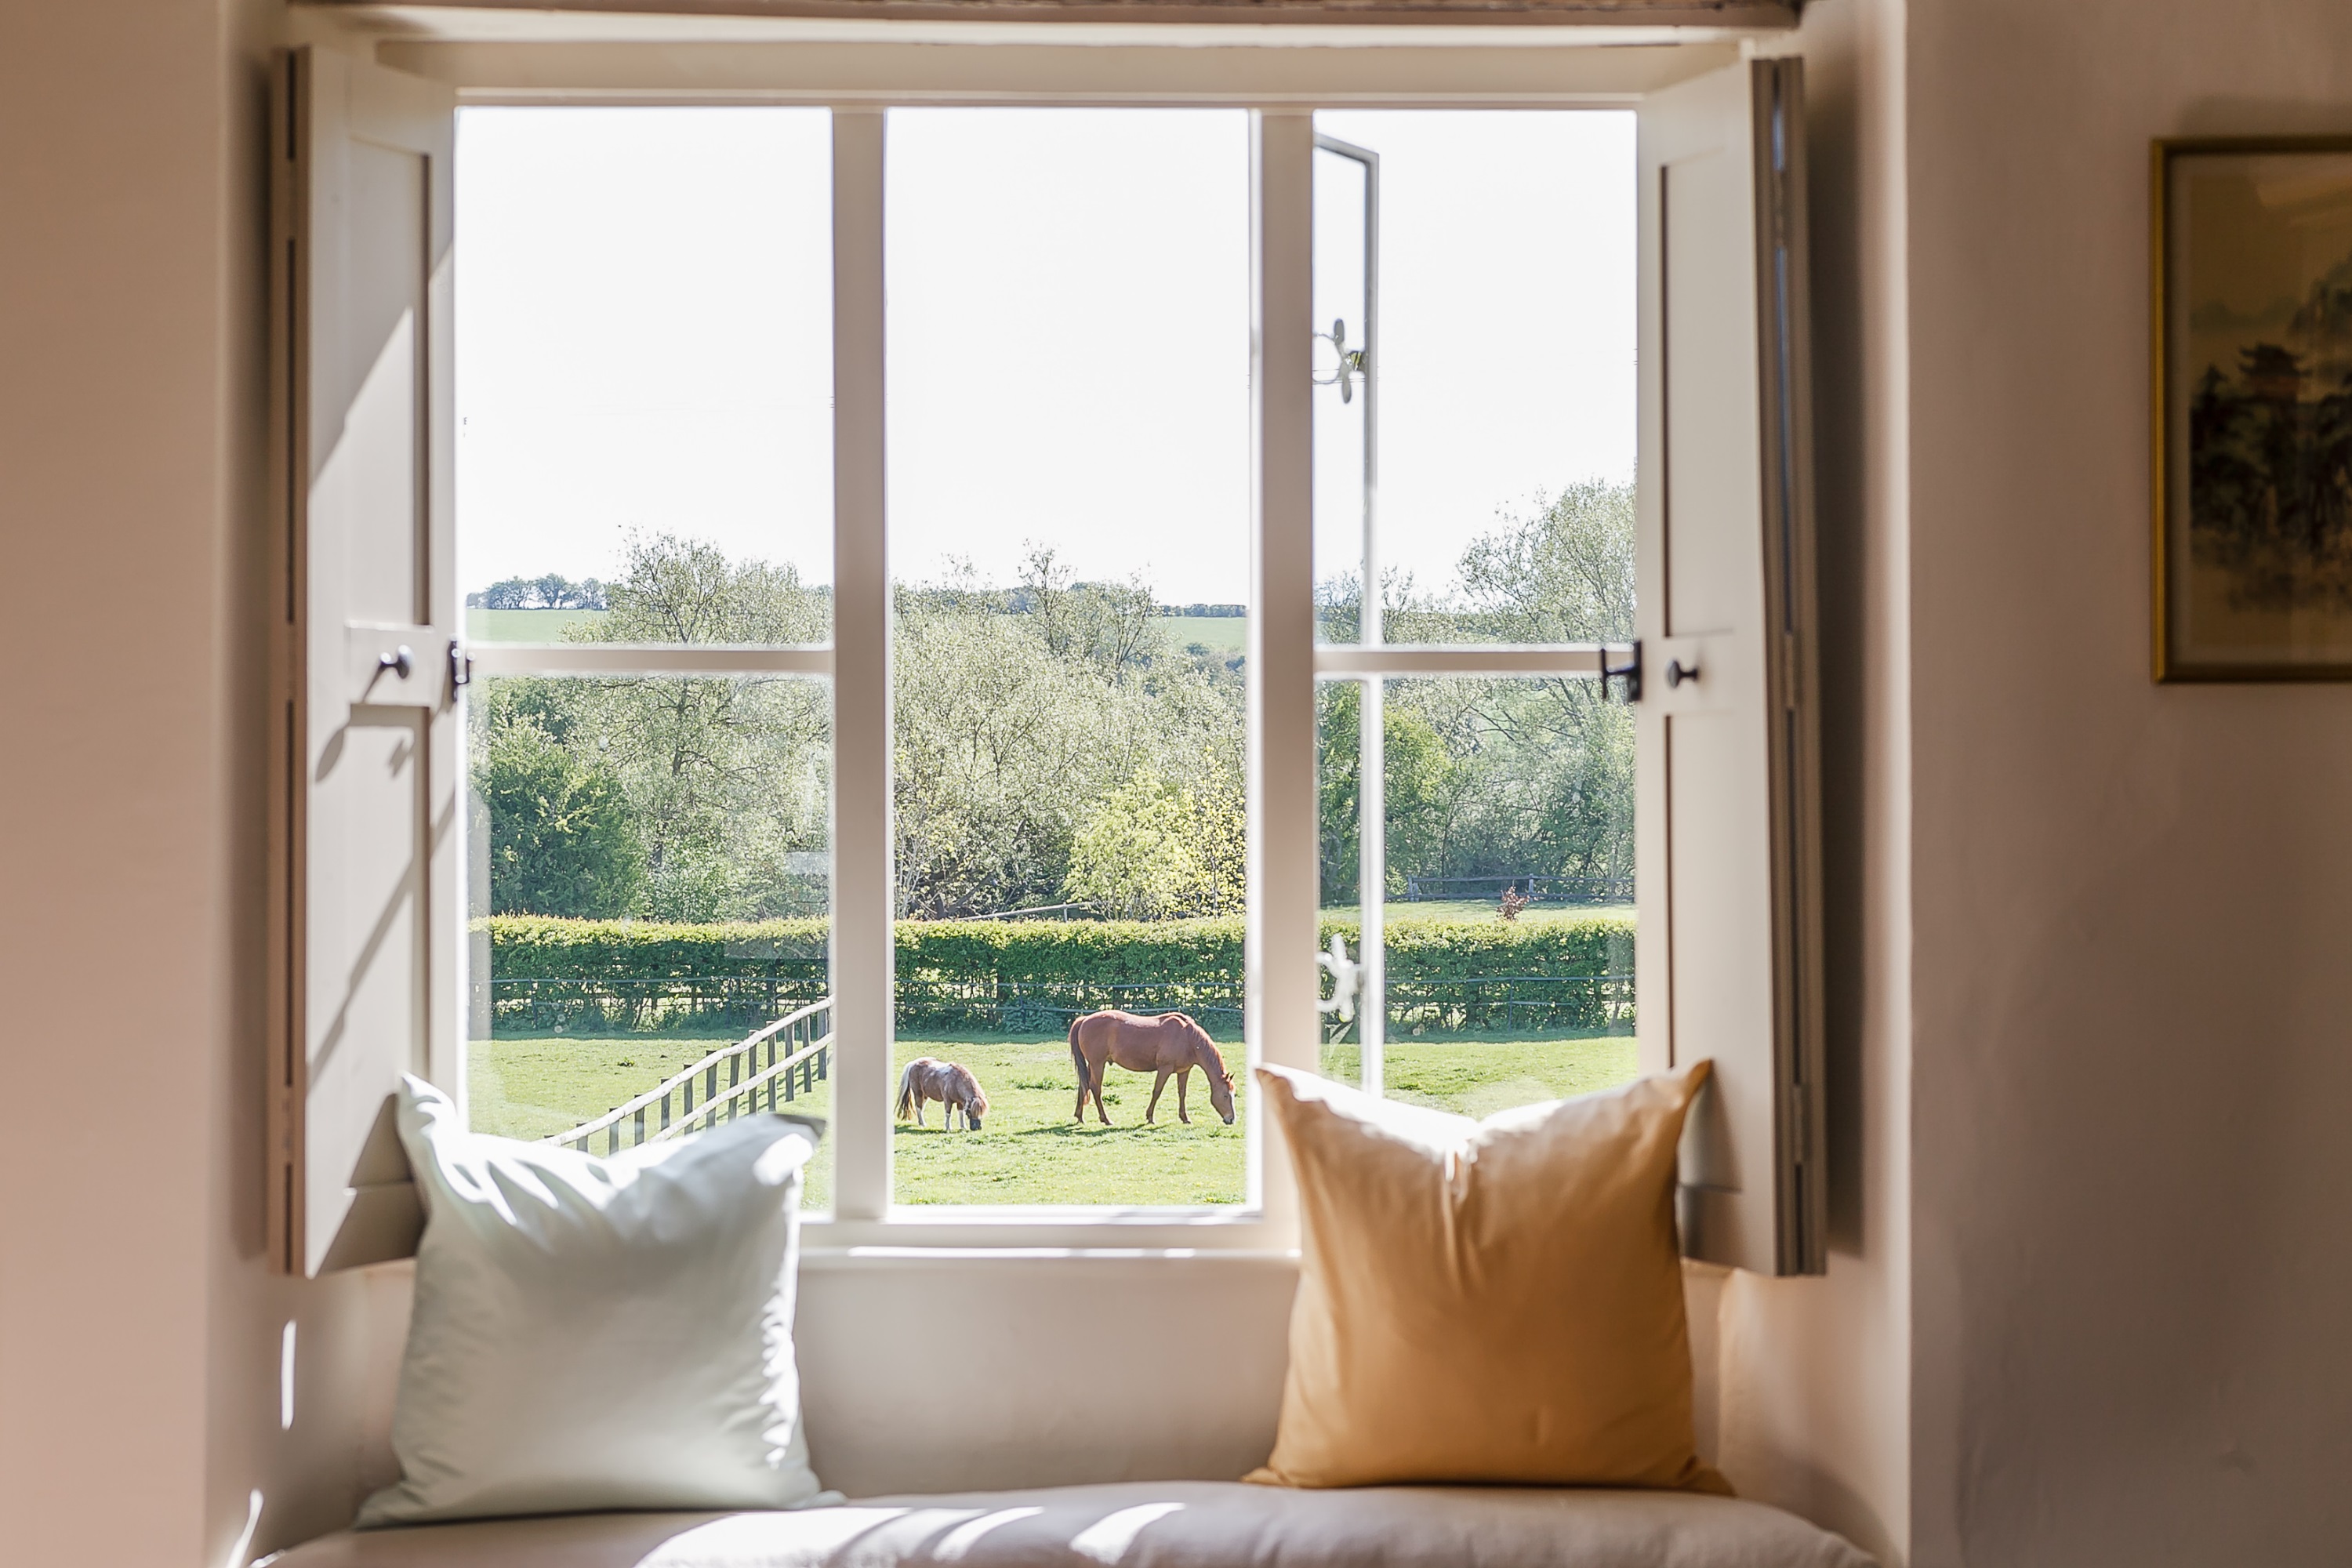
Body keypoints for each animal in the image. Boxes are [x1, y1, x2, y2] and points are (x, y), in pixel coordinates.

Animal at [884, 1053, 988, 1128]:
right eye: (971, 1111)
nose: (976, 1128)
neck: (955, 1081)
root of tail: (913, 1063)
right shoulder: (947, 1101)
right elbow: (948, 1114)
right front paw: (948, 1127)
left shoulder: (960, 1103)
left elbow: (961, 1114)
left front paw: (963, 1127)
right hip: (918, 1093)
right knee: (918, 1107)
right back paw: (923, 1124)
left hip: (925, 1096)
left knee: (921, 1108)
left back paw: (921, 1123)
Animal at [1073, 1011, 1242, 1123]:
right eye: (1225, 1095)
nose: (1231, 1120)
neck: (1188, 1038)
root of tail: (1084, 1019)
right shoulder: (1165, 1069)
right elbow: (1157, 1092)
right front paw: (1150, 1117)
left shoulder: (1184, 1071)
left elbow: (1182, 1093)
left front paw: (1185, 1118)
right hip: (1097, 1064)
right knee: (1095, 1088)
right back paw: (1106, 1119)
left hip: (1091, 1065)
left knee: (1084, 1086)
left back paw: (1080, 1117)